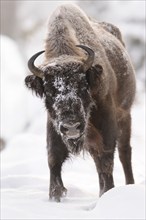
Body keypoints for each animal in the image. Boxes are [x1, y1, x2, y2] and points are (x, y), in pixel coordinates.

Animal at [25, 3, 136, 203]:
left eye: (83, 86)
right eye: (49, 91)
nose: (71, 127)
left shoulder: (107, 122)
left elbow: (106, 159)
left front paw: (107, 192)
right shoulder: (54, 125)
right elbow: (54, 158)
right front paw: (55, 195)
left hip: (125, 115)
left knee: (124, 152)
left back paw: (128, 185)